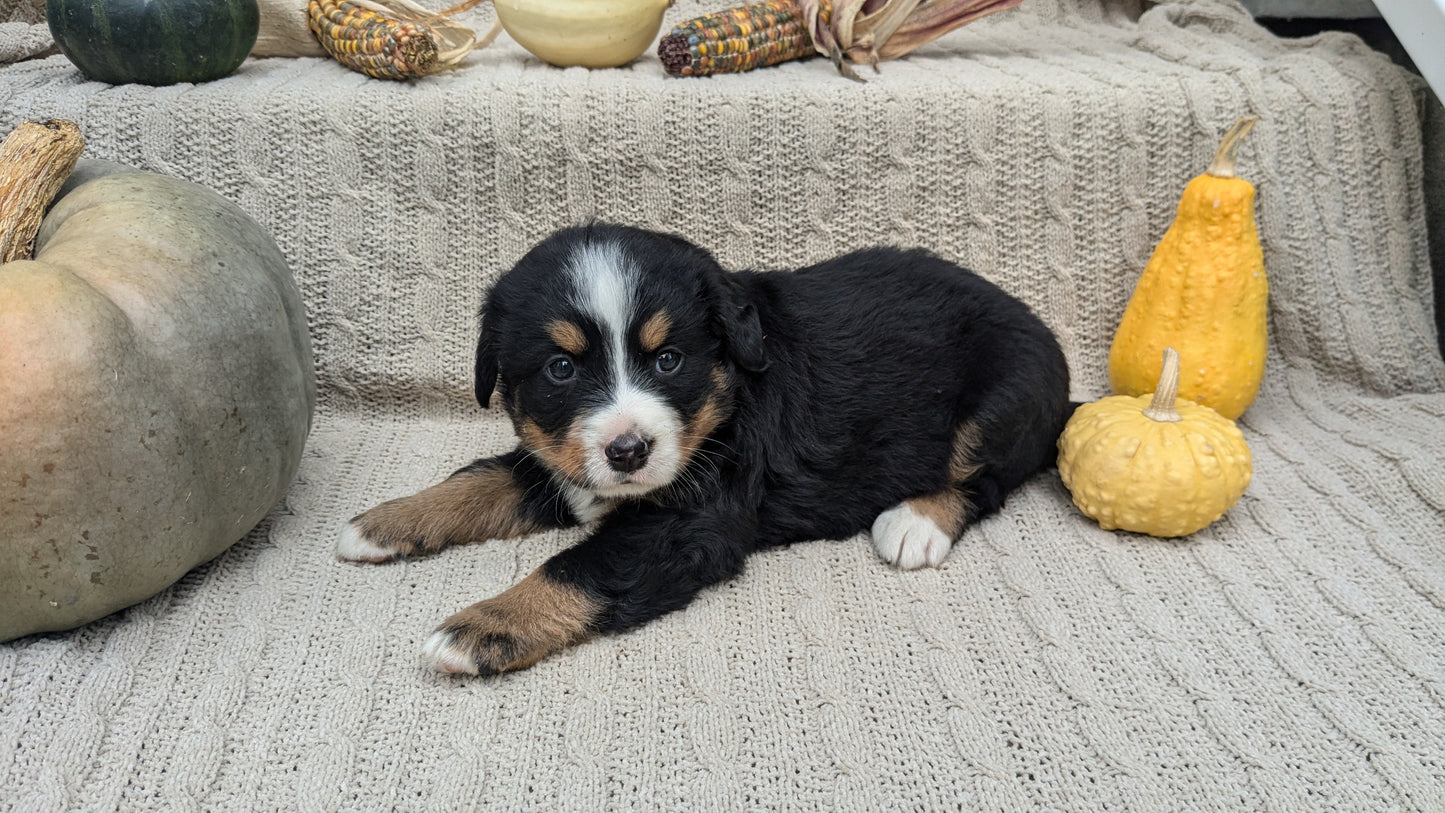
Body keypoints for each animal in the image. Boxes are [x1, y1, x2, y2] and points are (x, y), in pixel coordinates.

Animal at [332, 222, 1069, 675]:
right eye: (561, 369)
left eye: (669, 360)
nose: (628, 450)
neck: (727, 397)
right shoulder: (561, 460)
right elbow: (484, 477)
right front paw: (385, 522)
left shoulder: (687, 522)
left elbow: (577, 569)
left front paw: (477, 628)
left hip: (1002, 398)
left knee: (983, 480)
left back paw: (915, 522)